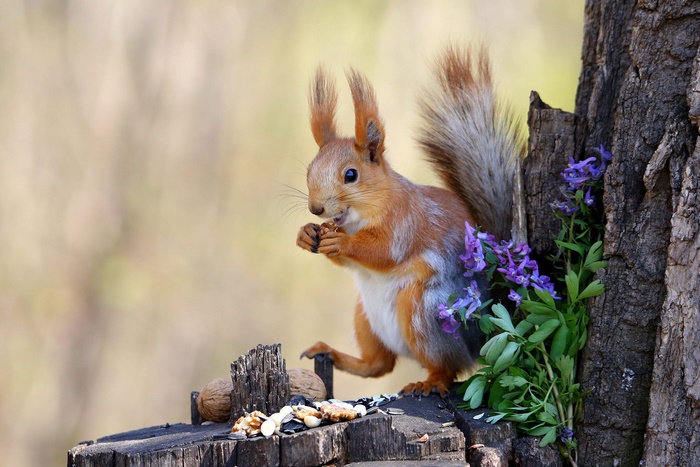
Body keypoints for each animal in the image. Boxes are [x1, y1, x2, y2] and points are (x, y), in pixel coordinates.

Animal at [296, 45, 525, 396]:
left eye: (351, 175)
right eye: (309, 170)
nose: (316, 209)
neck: (360, 219)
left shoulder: (405, 221)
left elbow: (384, 252)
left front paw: (342, 242)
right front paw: (306, 234)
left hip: (424, 311)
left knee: (449, 367)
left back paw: (429, 381)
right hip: (365, 317)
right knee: (378, 365)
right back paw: (332, 352)